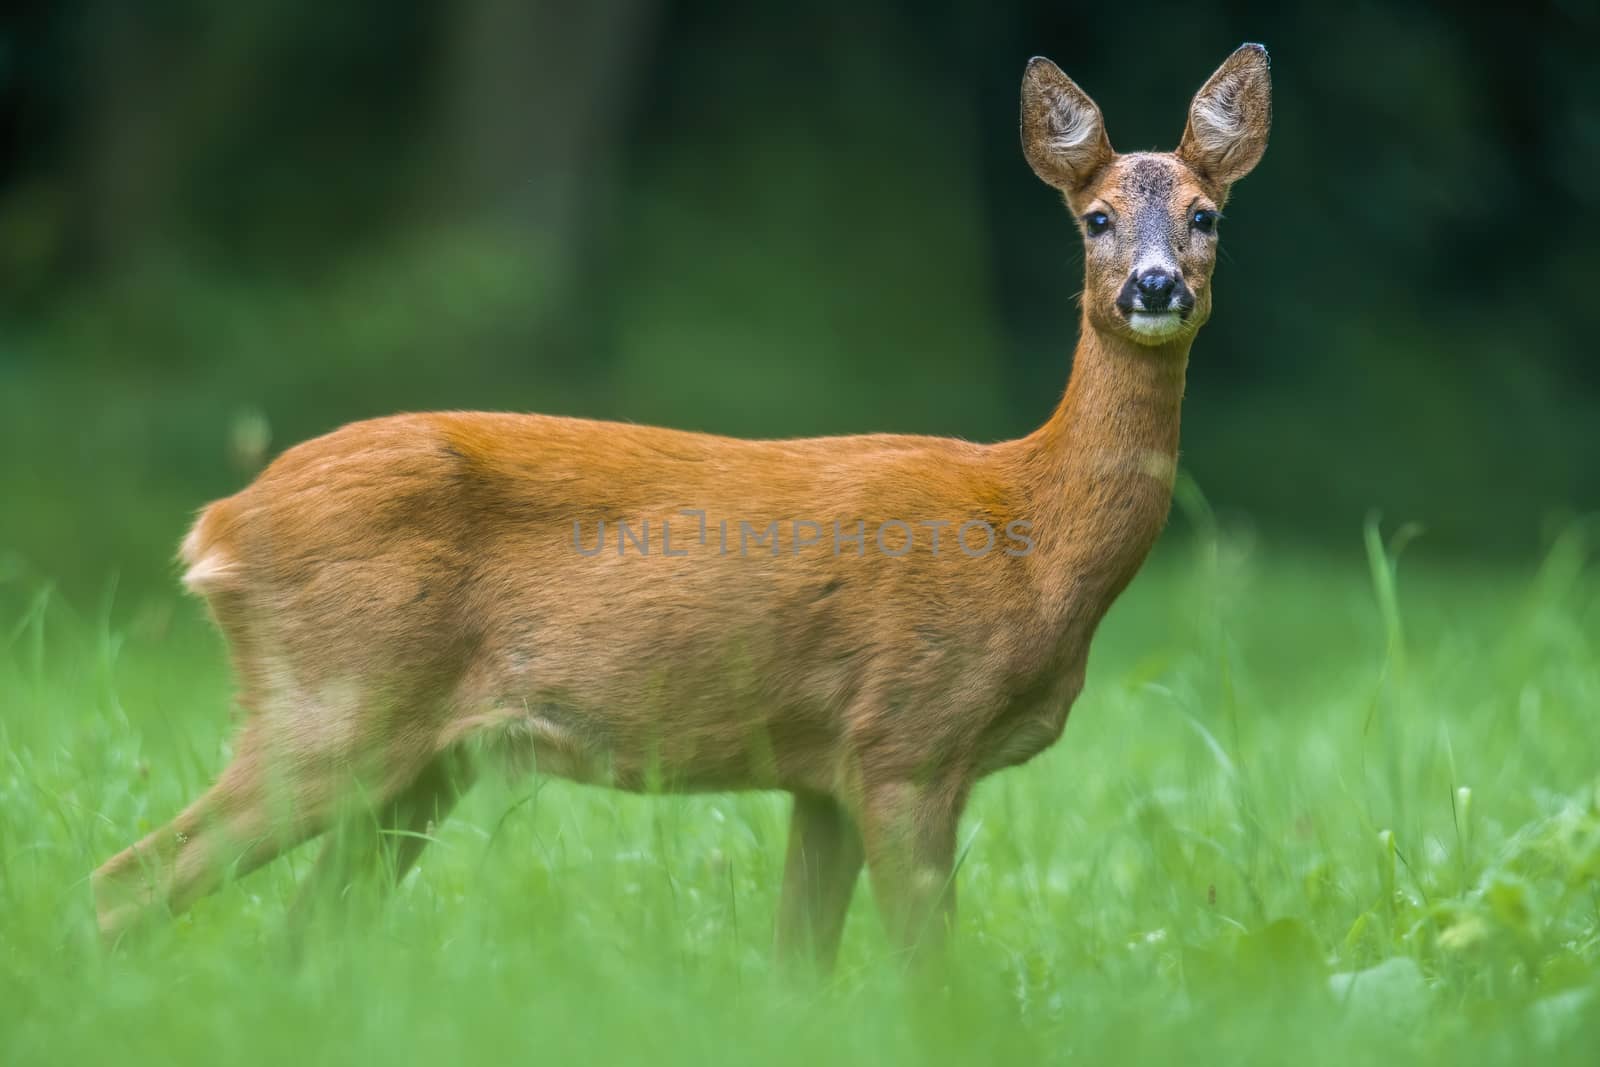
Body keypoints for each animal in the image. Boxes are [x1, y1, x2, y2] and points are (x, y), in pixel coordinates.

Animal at [96, 45, 1273, 972]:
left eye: (1208, 215)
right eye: (1096, 218)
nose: (1156, 286)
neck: (1030, 535)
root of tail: (216, 528)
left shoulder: (824, 771)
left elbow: (799, 966)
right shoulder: (907, 735)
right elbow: (925, 971)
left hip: (420, 757)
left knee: (298, 928)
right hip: (338, 696)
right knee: (131, 880)